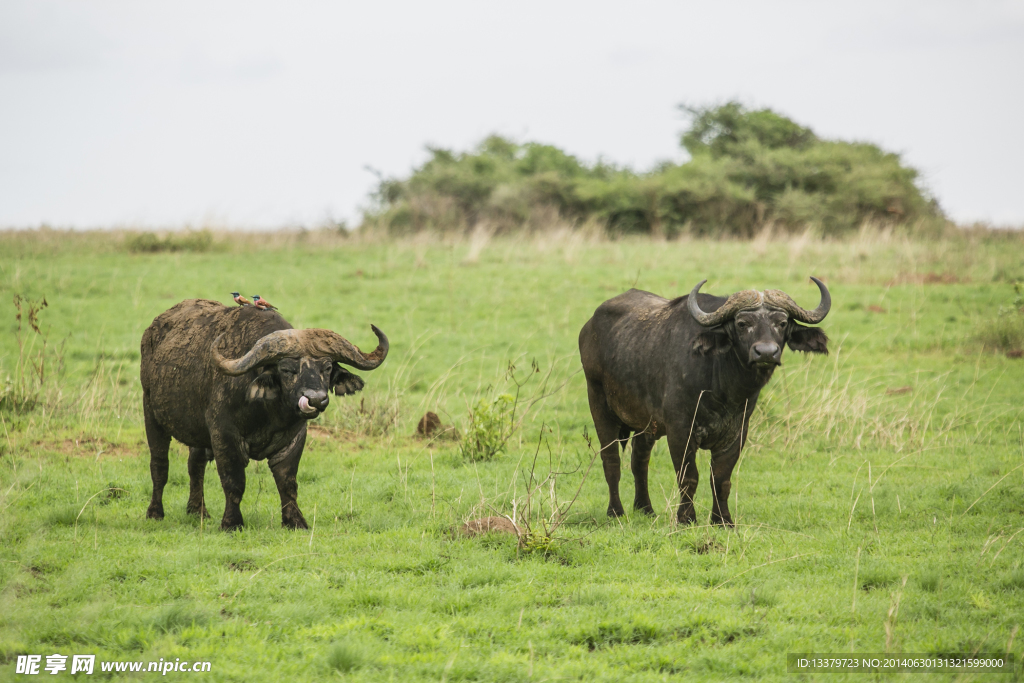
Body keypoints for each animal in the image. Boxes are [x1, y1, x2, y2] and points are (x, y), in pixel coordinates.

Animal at [140, 301, 387, 532]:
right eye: (286, 369)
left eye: (326, 368)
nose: (316, 399)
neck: (270, 414)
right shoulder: (224, 435)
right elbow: (234, 481)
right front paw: (231, 523)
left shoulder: (295, 438)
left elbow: (287, 482)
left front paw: (295, 521)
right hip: (151, 413)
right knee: (159, 465)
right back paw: (155, 512)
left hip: (198, 432)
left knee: (195, 464)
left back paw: (197, 510)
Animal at [577, 280, 831, 528]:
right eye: (742, 323)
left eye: (782, 323)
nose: (766, 353)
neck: (723, 388)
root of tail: (588, 327)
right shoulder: (680, 431)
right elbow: (688, 477)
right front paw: (686, 518)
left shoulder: (737, 433)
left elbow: (721, 479)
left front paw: (722, 520)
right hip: (599, 404)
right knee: (611, 461)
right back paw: (616, 512)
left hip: (646, 424)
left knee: (639, 460)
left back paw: (645, 509)